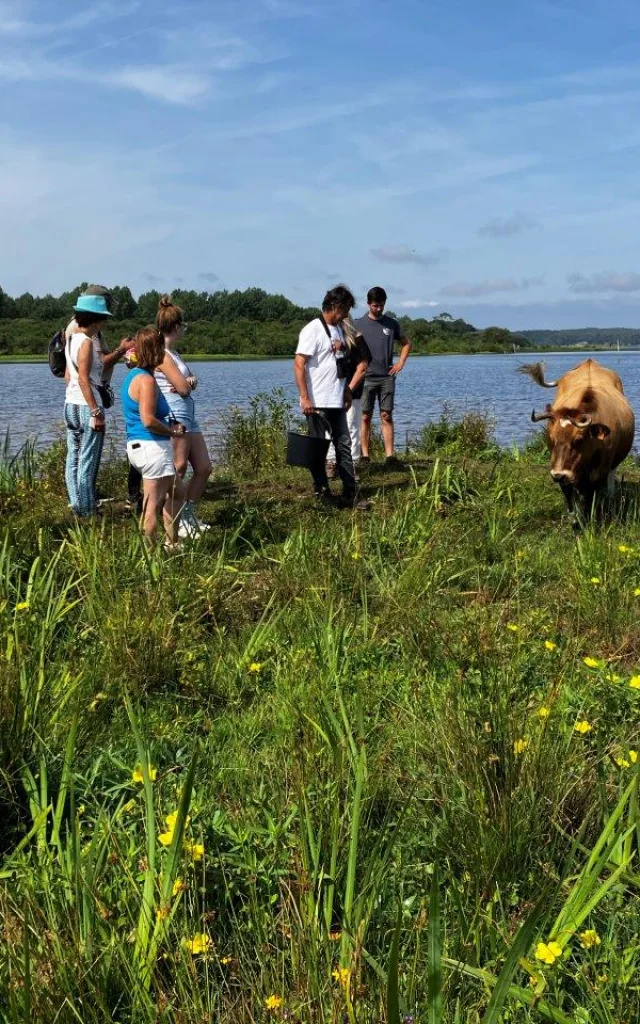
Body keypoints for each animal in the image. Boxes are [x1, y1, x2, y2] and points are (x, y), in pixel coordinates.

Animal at [520, 362, 634, 520]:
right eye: (551, 438)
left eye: (578, 440)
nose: (558, 474)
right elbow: (569, 493)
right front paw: (573, 516)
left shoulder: (601, 470)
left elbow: (591, 496)